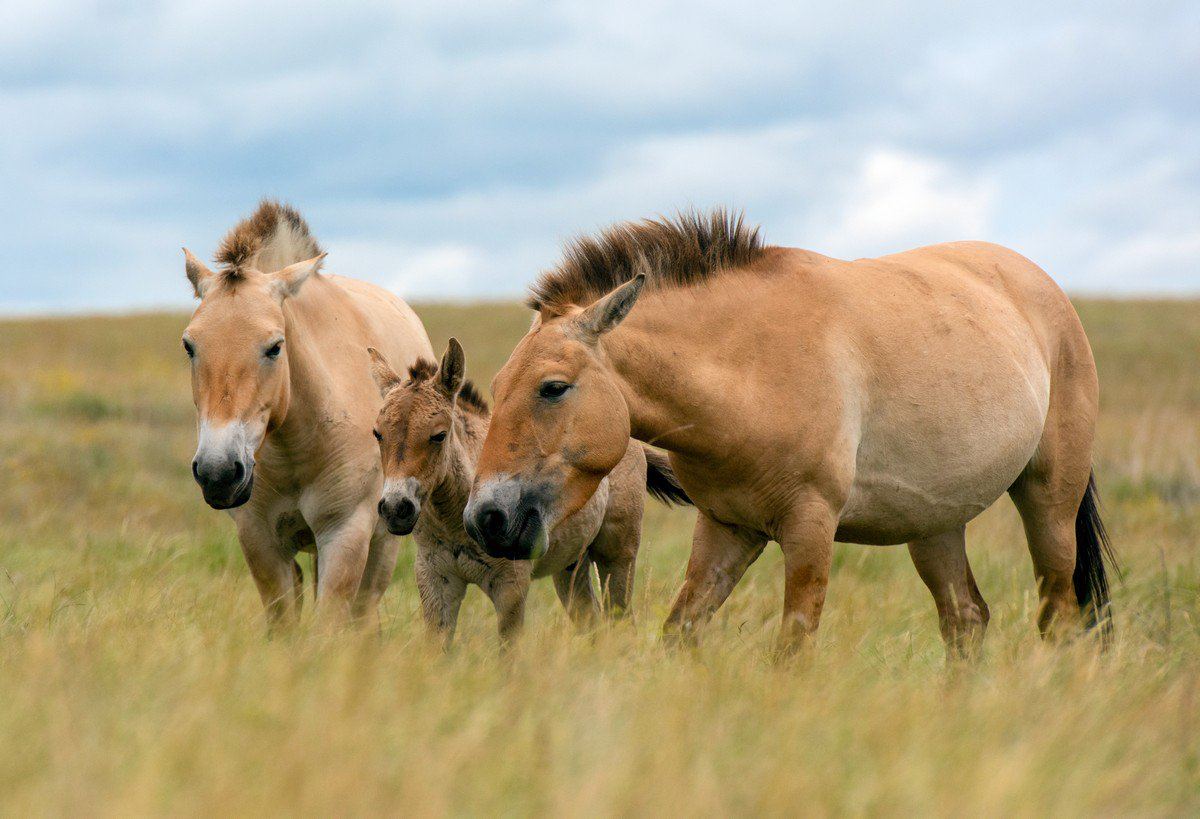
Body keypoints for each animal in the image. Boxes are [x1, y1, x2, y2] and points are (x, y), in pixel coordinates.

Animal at [180, 200, 434, 629]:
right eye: (189, 345)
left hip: (382, 547)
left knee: (365, 614)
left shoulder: (344, 534)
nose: (218, 472)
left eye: (274, 347)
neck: (295, 447)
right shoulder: (260, 540)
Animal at [364, 333, 691, 638]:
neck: (454, 521)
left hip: (617, 553)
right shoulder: (435, 582)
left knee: (620, 620)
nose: (396, 508)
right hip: (570, 565)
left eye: (438, 435)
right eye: (377, 434)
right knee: (590, 622)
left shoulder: (511, 584)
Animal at [465, 210, 1113, 658]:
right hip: (934, 525)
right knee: (966, 621)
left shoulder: (809, 528)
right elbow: (679, 632)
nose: (486, 518)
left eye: (552, 387)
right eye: (497, 387)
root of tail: (1049, 294)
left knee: (1058, 617)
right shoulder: (727, 528)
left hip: (1049, 505)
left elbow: (792, 651)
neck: (748, 369)